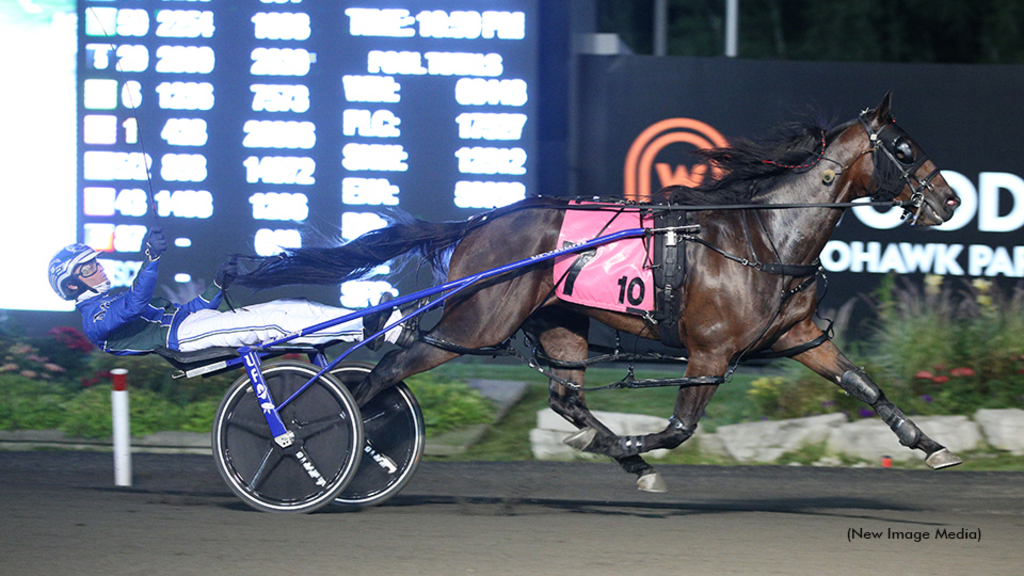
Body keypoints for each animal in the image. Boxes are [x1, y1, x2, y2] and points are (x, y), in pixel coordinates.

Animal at [237, 94, 958, 487]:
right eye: (901, 146)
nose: (950, 199)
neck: (763, 238)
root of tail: (480, 223)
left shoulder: (799, 336)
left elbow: (865, 387)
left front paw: (931, 446)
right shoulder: (710, 352)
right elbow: (677, 429)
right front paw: (634, 451)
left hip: (559, 320)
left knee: (565, 396)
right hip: (476, 323)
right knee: (386, 370)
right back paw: (319, 447)